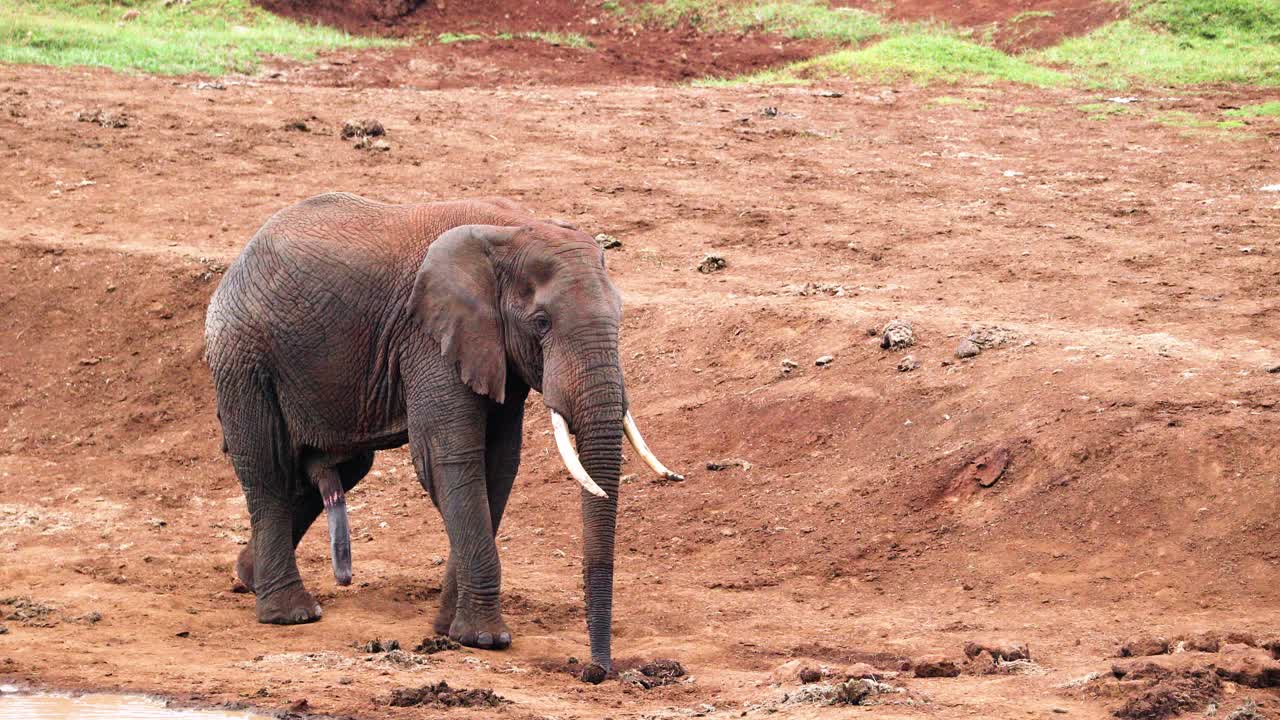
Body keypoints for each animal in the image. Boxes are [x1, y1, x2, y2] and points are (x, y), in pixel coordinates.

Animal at [204, 193, 681, 682]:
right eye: (542, 322)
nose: (597, 671)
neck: (513, 231)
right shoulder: (429, 337)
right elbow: (449, 458)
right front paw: (485, 639)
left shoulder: (490, 349)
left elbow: (499, 465)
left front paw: (450, 631)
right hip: (243, 355)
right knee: (269, 471)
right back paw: (290, 614)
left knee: (341, 470)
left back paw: (249, 577)